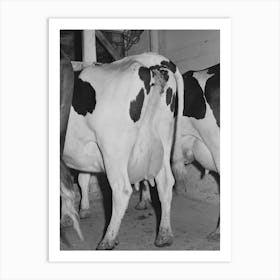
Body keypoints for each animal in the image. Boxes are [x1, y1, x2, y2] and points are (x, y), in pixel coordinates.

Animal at [62, 52, 185, 249]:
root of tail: (147, 60)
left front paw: (67, 217)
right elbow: (81, 178)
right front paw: (81, 210)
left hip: (113, 150)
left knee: (121, 190)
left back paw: (108, 239)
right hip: (163, 141)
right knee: (166, 183)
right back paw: (164, 235)